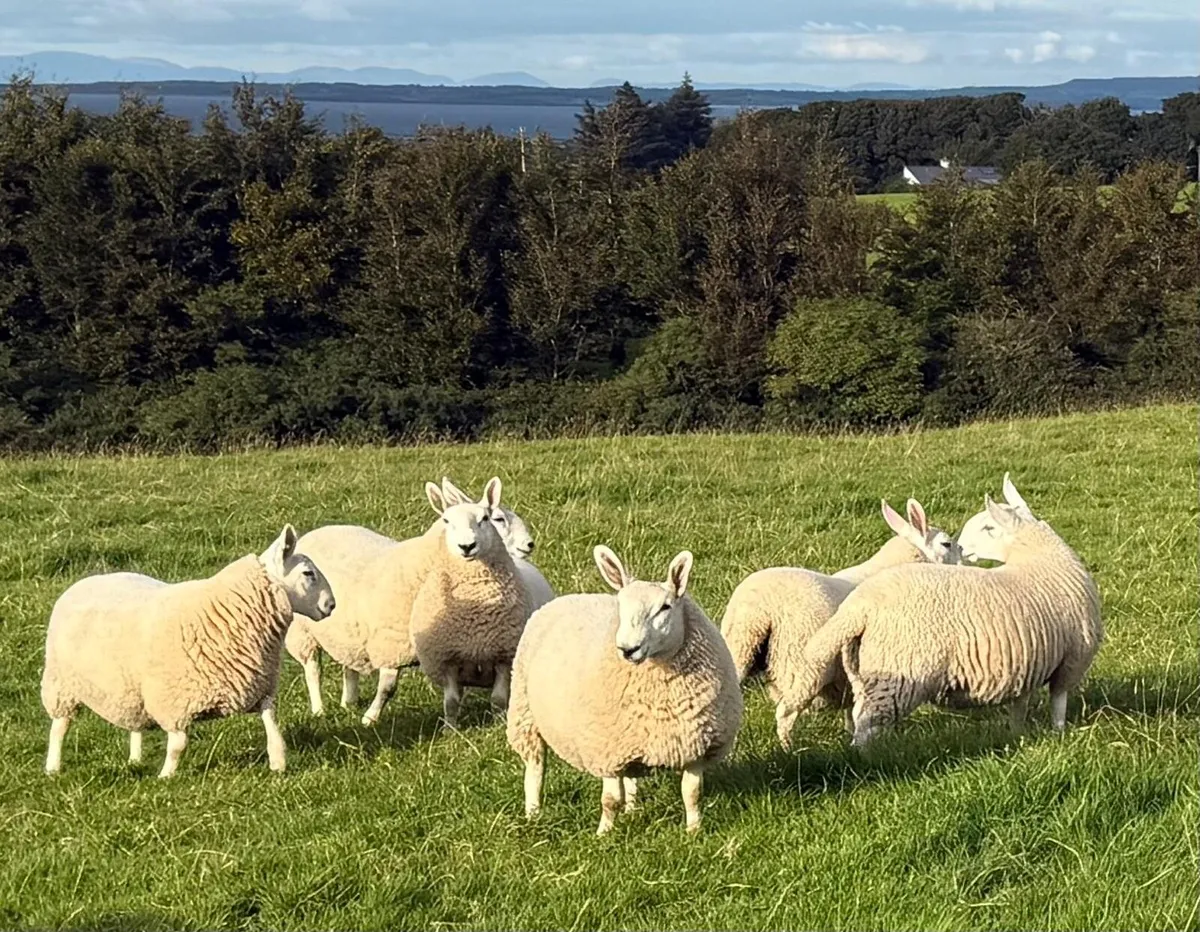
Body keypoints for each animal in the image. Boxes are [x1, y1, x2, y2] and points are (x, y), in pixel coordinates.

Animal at [41, 526, 335, 778]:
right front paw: (166, 777)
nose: (331, 605)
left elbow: (271, 722)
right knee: (59, 726)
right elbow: (178, 745)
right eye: (308, 573)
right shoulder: (174, 701)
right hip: (61, 684)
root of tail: (86, 581)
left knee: (134, 723)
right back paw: (53, 767)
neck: (226, 611)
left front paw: (278, 762)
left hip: (131, 687)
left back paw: (134, 759)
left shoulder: (261, 687)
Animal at [507, 546, 743, 835]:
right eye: (620, 605)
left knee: (630, 777)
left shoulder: (696, 747)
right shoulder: (606, 749)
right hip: (525, 714)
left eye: (665, 607)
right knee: (535, 767)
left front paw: (694, 830)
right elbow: (609, 800)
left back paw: (632, 810)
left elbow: (692, 793)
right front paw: (604, 834)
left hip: (631, 739)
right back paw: (533, 812)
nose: (627, 649)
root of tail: (568, 597)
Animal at [720, 498, 961, 749]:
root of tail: (758, 612)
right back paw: (790, 749)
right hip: (805, 666)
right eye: (946, 544)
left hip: (738, 652)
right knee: (785, 714)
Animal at [797, 474, 1103, 746]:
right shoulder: (1073, 657)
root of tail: (859, 607)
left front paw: (1018, 734)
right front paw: (1058, 733)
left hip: (862, 674)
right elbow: (1058, 704)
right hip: (895, 673)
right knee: (866, 726)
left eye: (988, 528)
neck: (1038, 555)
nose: (963, 548)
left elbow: (1020, 707)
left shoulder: (1027, 666)